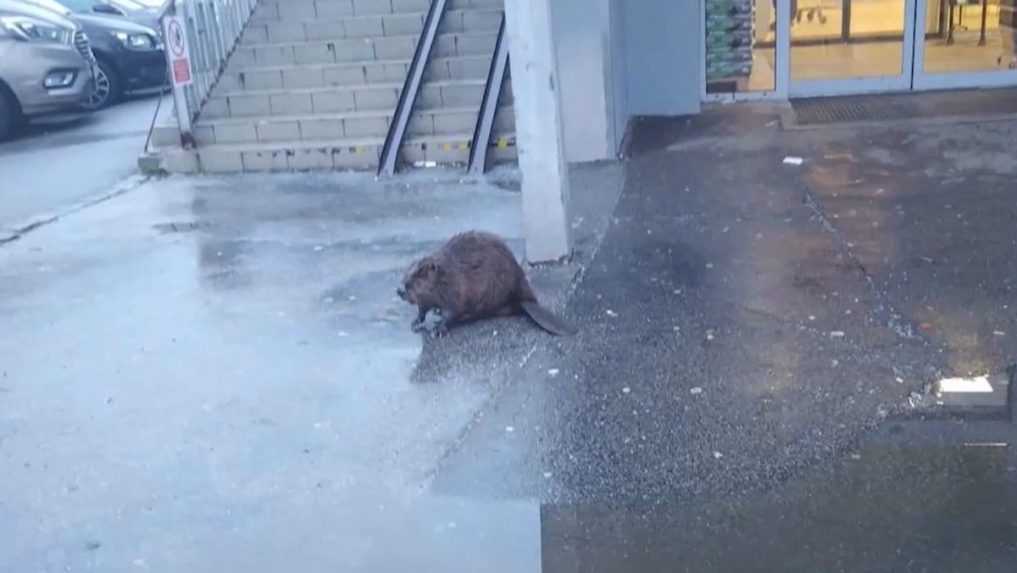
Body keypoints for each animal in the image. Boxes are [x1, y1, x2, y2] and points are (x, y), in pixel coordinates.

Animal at [394, 230, 573, 335]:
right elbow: (422, 309)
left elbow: (452, 310)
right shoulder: (427, 298)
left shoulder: (454, 287)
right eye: (406, 272)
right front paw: (416, 322)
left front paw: (438, 328)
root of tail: (526, 299)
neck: (444, 274)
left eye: (419, 274)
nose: (399, 290)